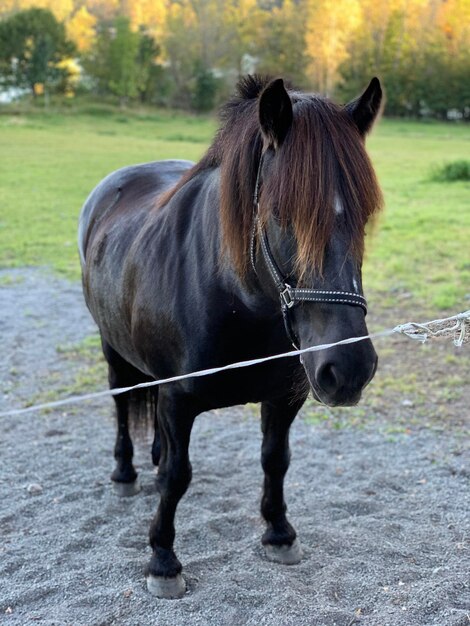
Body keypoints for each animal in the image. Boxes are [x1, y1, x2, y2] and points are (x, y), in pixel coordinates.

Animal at [79, 75, 384, 596]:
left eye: (364, 217)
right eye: (282, 214)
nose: (347, 369)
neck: (236, 297)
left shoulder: (284, 396)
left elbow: (275, 459)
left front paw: (280, 534)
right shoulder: (178, 398)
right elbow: (177, 476)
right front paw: (163, 560)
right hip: (112, 349)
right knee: (121, 403)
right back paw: (125, 472)